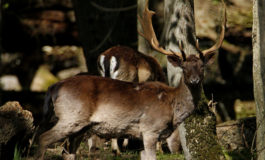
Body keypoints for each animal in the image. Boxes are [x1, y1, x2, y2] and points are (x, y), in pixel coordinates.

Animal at [34, 0, 225, 159]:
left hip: (79, 127)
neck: (172, 108)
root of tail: (53, 87)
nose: (194, 81)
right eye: (183, 68)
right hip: (71, 117)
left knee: (67, 151)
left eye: (202, 66)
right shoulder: (149, 129)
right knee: (42, 139)